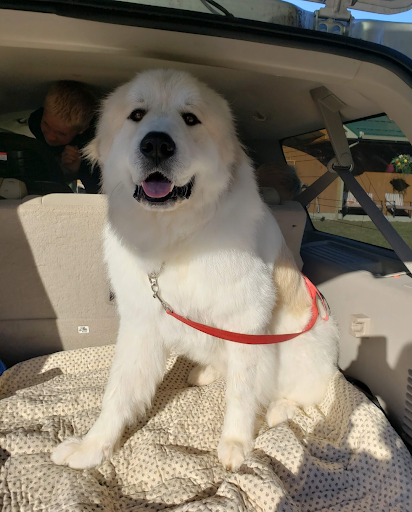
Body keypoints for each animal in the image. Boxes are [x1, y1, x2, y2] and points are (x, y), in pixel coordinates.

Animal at [51, 68, 340, 472]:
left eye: (190, 119)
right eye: (137, 114)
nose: (157, 144)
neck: (175, 237)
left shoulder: (246, 322)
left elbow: (241, 392)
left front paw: (236, 443)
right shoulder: (141, 322)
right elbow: (118, 391)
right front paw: (94, 447)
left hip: (301, 346)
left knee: (298, 392)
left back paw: (279, 410)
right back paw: (205, 373)